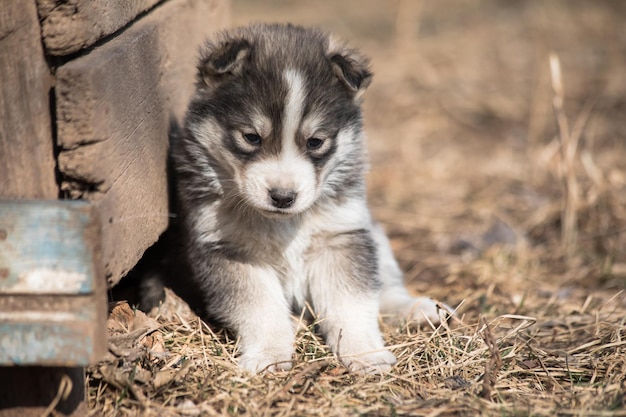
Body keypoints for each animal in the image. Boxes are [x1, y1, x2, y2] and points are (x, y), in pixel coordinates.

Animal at [161, 23, 446, 374]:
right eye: (251, 137)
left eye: (316, 142)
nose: (283, 197)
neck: (282, 224)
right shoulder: (228, 250)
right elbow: (260, 308)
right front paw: (268, 355)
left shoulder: (341, 237)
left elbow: (353, 302)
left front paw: (365, 352)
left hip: (375, 233)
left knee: (385, 286)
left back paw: (418, 309)